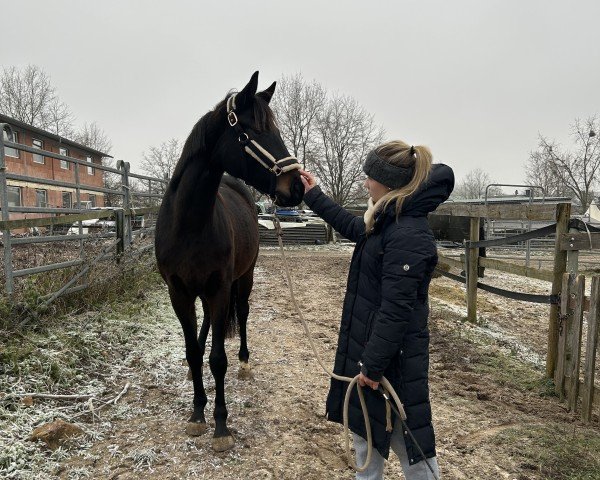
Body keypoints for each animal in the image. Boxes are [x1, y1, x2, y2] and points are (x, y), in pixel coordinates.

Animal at [155, 70, 304, 450]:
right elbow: (195, 352)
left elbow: (218, 360)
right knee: (205, 326)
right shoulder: (178, 292)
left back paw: (245, 362)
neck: (190, 224)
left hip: (243, 279)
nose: (296, 188)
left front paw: (221, 425)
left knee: (243, 315)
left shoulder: (221, 288)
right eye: (250, 132)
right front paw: (197, 413)